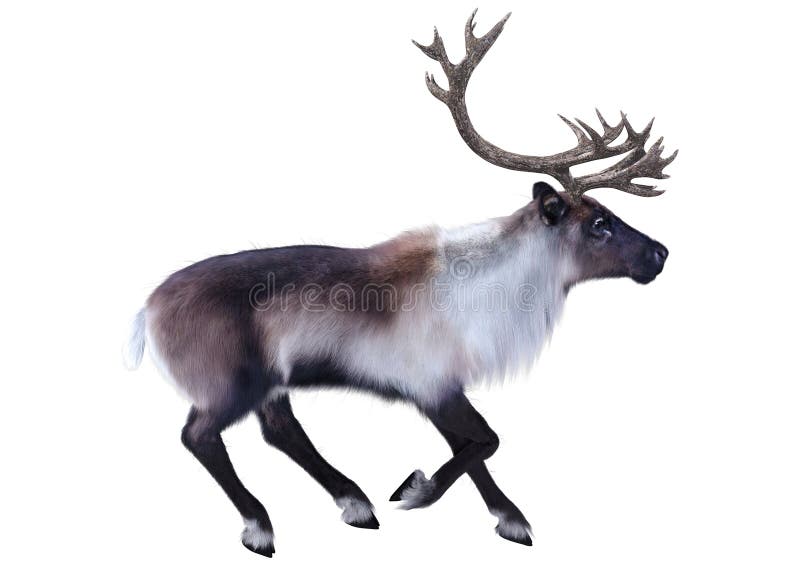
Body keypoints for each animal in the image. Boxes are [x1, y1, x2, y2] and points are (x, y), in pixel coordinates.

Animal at [123, 11, 676, 558]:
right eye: (599, 223)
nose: (660, 253)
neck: (501, 288)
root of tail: (146, 312)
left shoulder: (440, 387)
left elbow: (473, 447)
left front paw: (509, 519)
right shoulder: (432, 384)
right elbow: (486, 441)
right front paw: (416, 491)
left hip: (270, 383)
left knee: (280, 430)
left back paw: (354, 503)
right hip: (231, 384)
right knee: (199, 436)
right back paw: (261, 526)